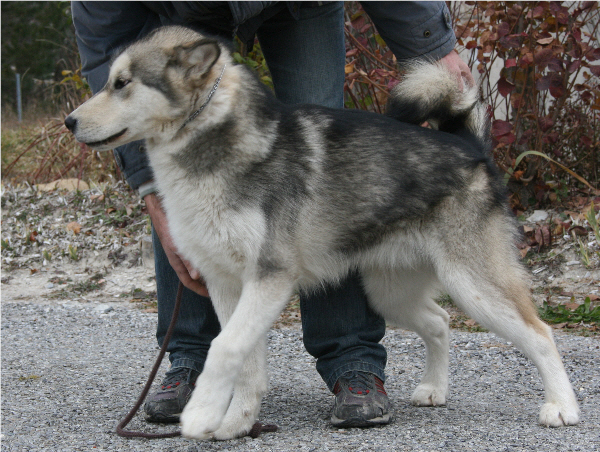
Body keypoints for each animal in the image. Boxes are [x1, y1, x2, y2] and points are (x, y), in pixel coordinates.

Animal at [64, 26, 576, 440]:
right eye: (108, 80)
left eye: (122, 83)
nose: (69, 121)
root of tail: (467, 145)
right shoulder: (227, 286)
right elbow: (243, 360)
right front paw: (235, 424)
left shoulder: (269, 279)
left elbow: (223, 348)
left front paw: (203, 414)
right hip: (392, 293)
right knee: (439, 322)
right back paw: (435, 388)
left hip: (474, 285)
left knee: (541, 333)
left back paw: (561, 407)